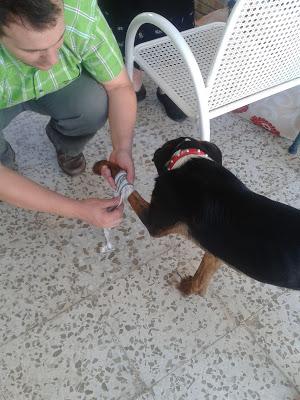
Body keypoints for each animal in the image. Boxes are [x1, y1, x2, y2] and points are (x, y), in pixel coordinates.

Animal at [94, 136, 300, 296]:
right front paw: (191, 288)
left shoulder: (155, 224)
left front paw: (103, 166)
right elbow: (202, 274)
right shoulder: (218, 249)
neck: (189, 159)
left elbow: (127, 187)